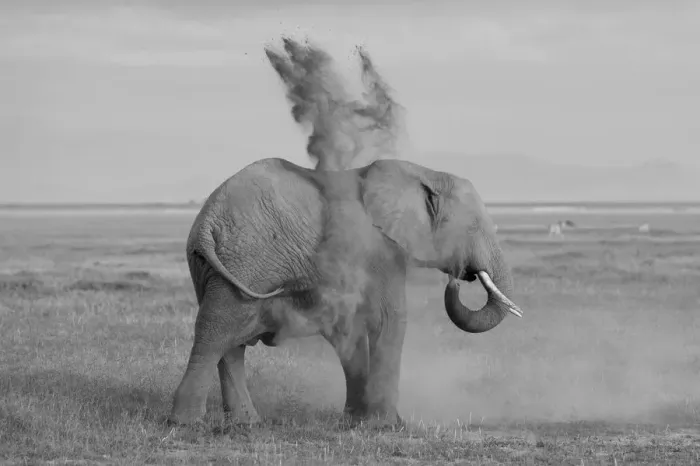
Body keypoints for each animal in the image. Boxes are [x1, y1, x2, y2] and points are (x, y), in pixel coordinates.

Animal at [168, 156, 523, 428]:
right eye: (473, 227)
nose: (459, 279)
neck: (422, 173)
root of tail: (205, 223)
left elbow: (348, 331)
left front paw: (356, 420)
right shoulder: (378, 251)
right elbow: (389, 320)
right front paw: (386, 426)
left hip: (214, 268)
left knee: (231, 340)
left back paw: (246, 424)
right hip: (246, 262)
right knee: (217, 332)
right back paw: (186, 423)